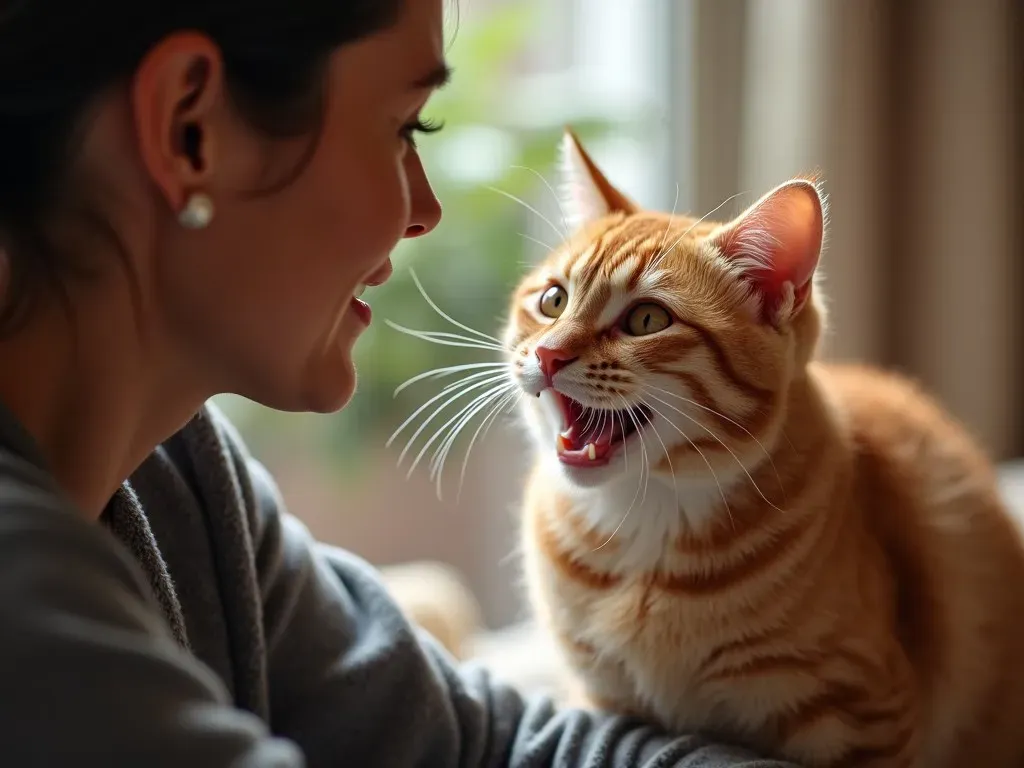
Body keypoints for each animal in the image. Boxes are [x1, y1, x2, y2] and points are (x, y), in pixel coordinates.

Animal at [505, 129, 1024, 765]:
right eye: (553, 301)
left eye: (647, 319)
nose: (548, 354)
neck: (645, 521)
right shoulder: (605, 705)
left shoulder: (861, 718)